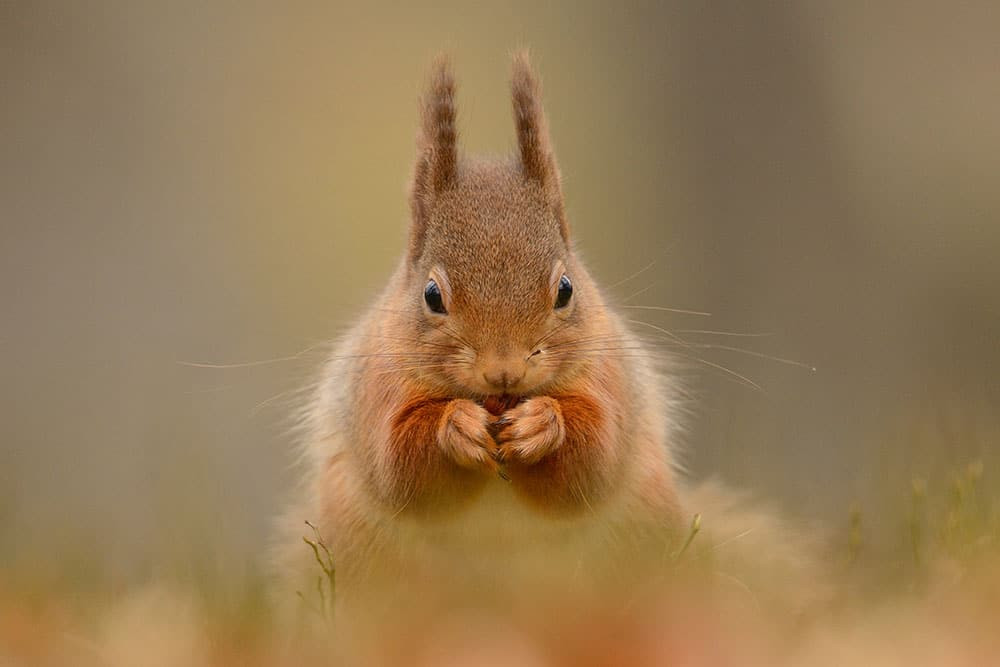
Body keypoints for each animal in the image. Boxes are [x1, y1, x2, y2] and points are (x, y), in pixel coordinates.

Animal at [272, 53, 826, 627]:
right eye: (431, 295)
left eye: (565, 289)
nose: (504, 371)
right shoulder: (375, 390)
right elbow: (398, 466)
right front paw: (457, 426)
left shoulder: (609, 380)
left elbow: (594, 458)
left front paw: (544, 424)